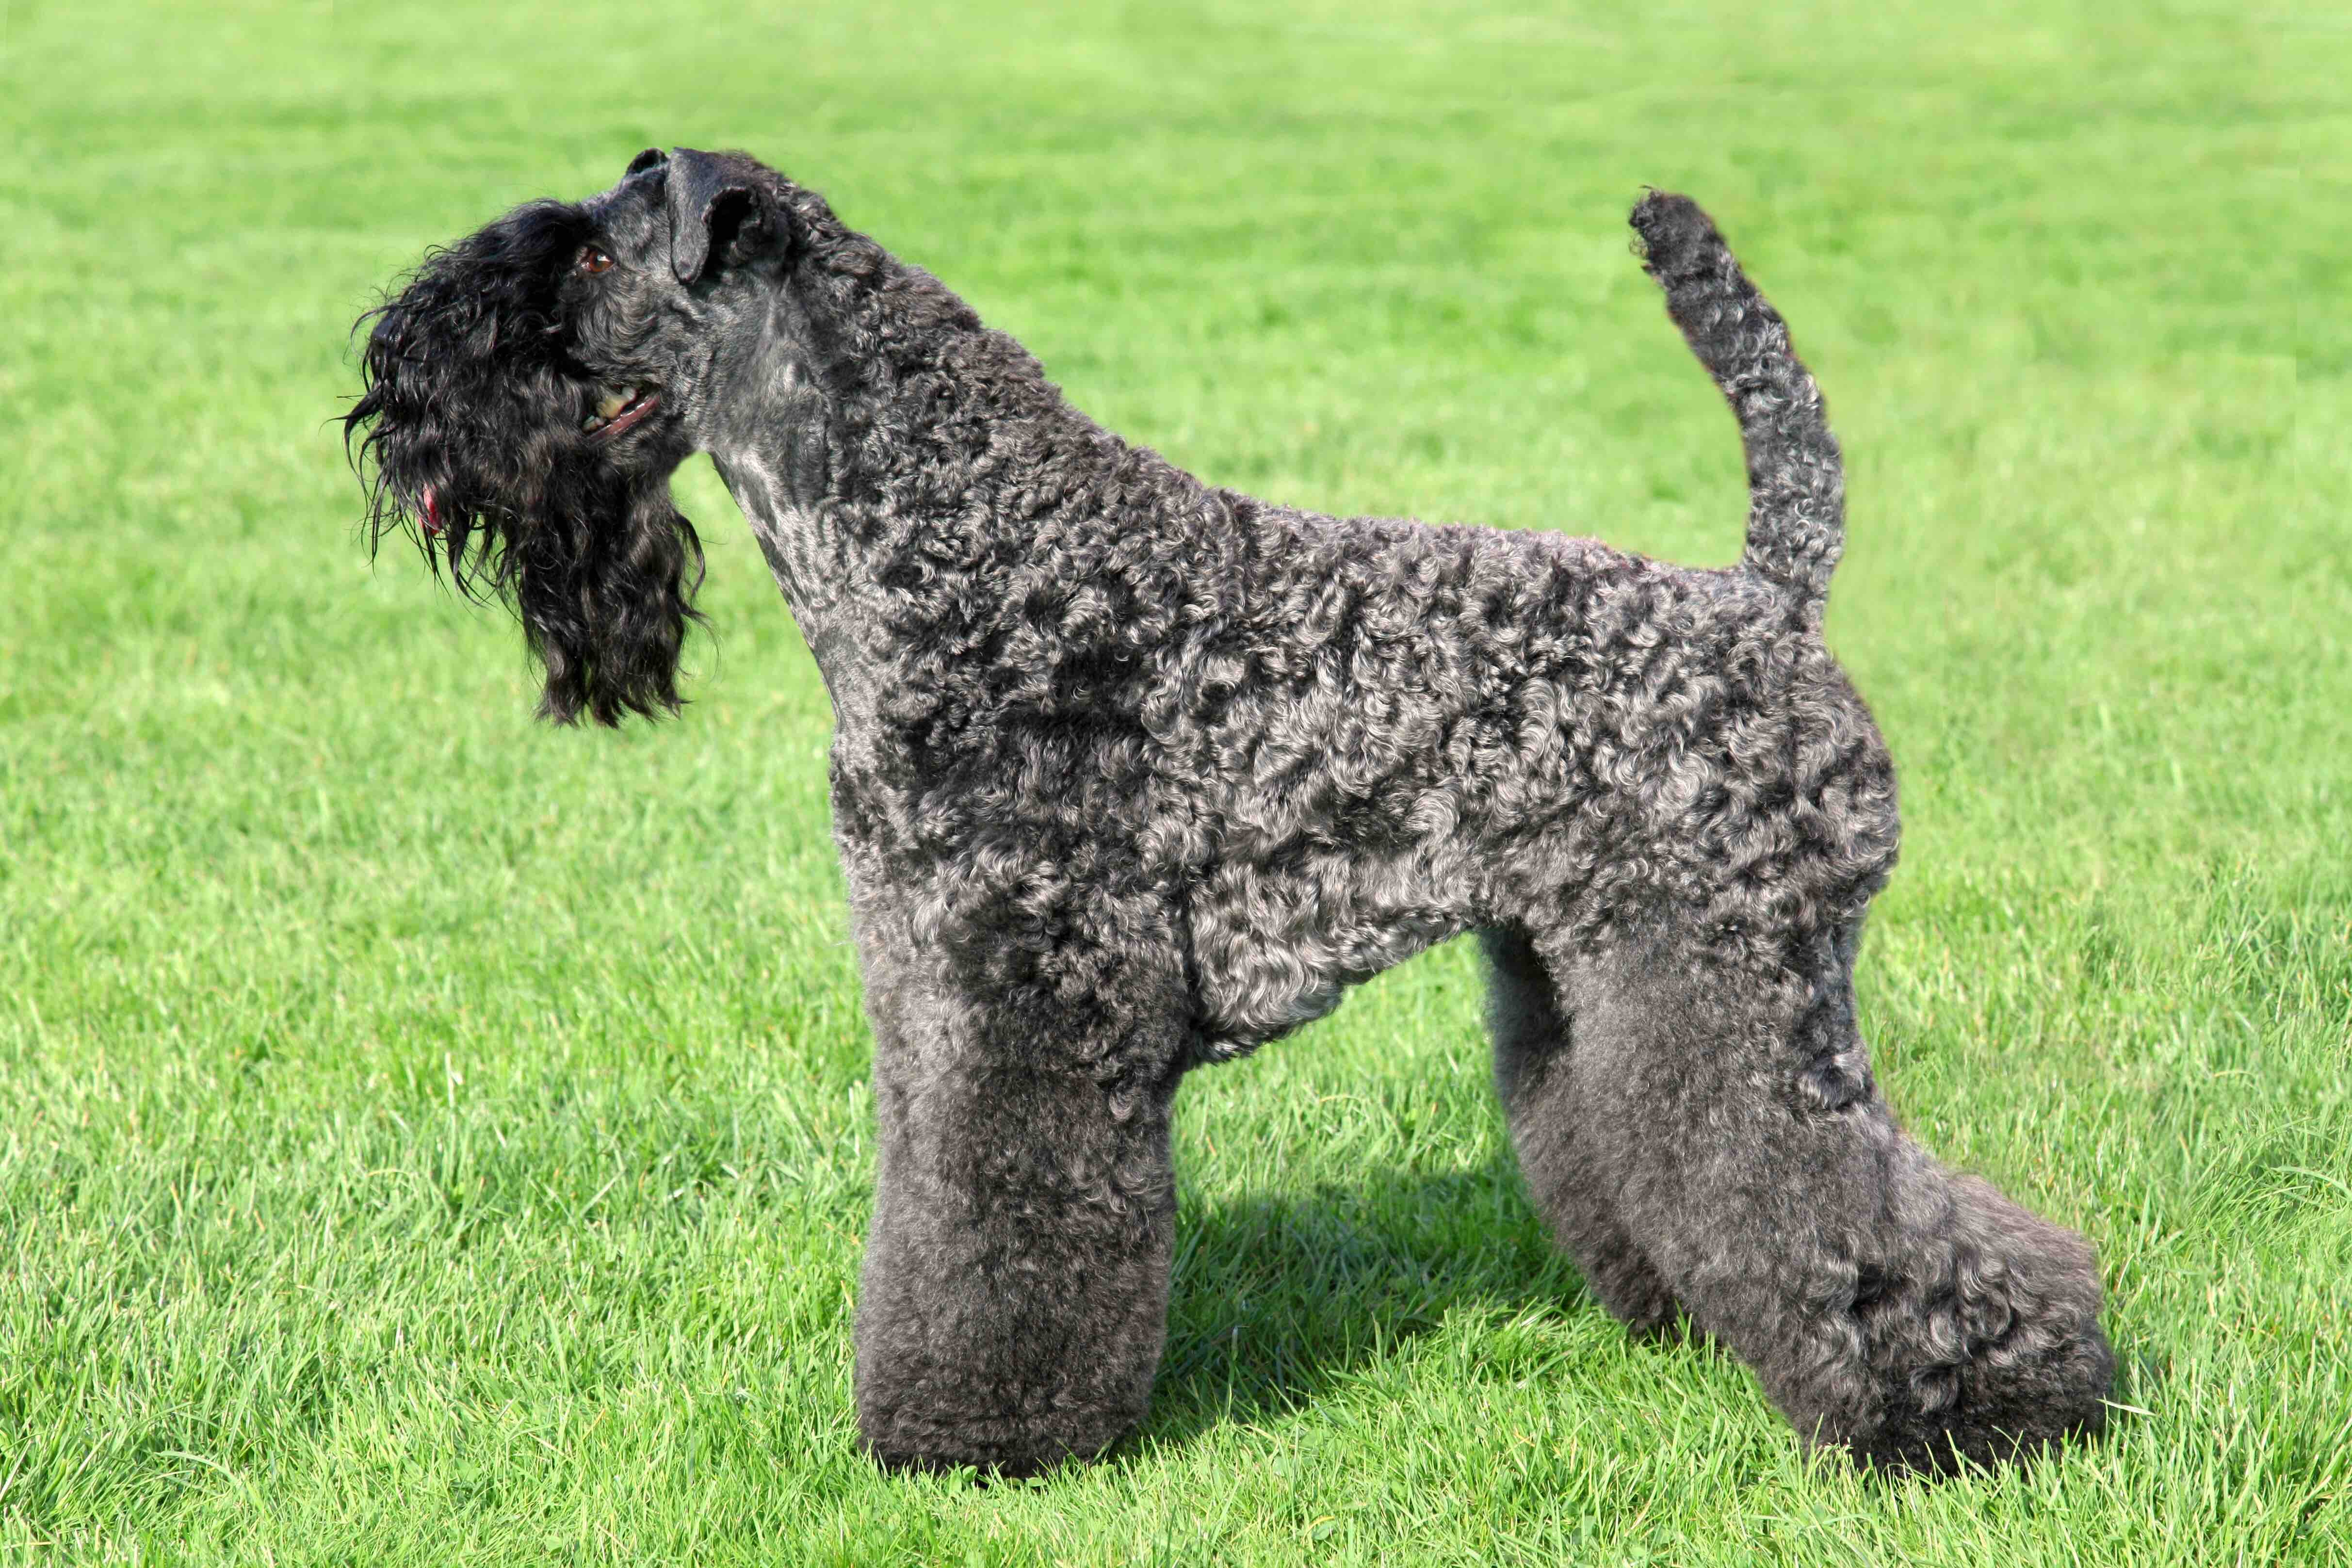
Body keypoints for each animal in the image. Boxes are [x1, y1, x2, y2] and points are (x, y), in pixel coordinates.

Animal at [343, 153, 2117, 1476]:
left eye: (585, 257)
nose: (394, 381)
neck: (954, 549)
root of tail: (1766, 600)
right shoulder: (924, 988)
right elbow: (930, 1212)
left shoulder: (1022, 1004)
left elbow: (997, 1229)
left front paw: (975, 1444)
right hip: (1584, 977)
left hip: (1737, 974)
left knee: (1846, 1194)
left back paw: (1990, 1407)